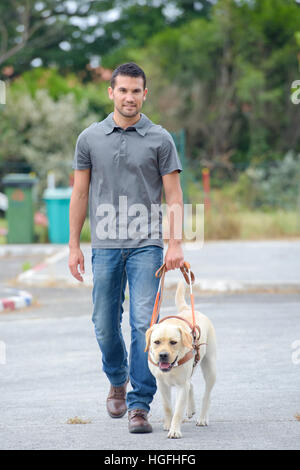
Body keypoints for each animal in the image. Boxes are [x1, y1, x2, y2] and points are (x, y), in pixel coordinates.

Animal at [145, 280, 216, 436]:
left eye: (173, 342)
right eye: (156, 342)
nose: (163, 355)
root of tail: (187, 309)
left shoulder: (182, 386)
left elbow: (177, 411)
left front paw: (174, 431)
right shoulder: (162, 384)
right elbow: (167, 406)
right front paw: (167, 424)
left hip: (210, 368)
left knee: (207, 395)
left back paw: (202, 418)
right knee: (192, 385)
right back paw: (191, 410)